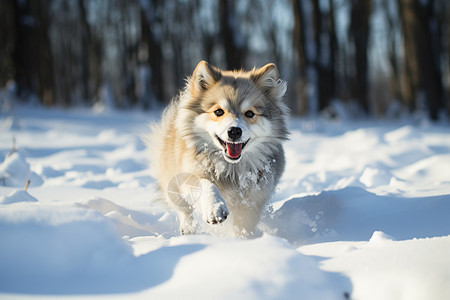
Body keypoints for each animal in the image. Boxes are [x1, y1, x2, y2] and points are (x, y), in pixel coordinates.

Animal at [148, 61, 288, 238]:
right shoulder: (190, 174)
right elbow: (206, 184)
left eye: (250, 113)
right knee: (183, 210)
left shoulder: (254, 199)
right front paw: (215, 209)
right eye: (218, 111)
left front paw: (244, 240)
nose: (234, 131)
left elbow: (244, 225)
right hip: (171, 182)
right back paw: (188, 230)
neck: (231, 168)